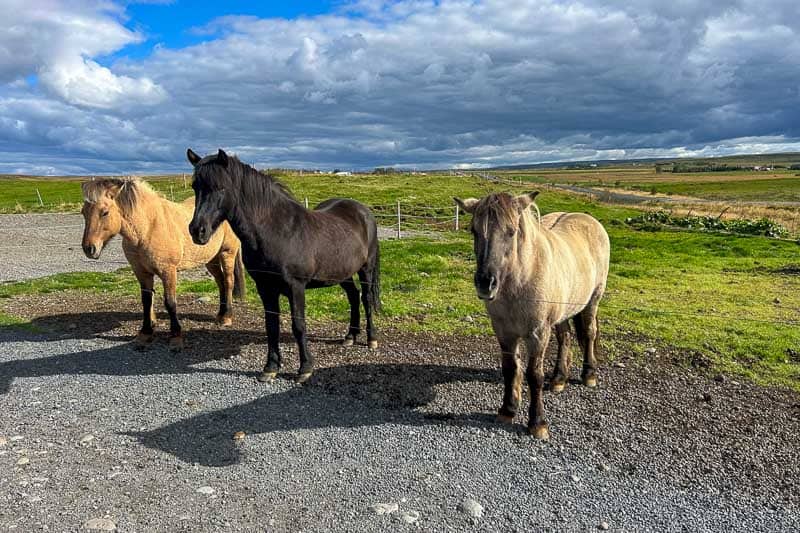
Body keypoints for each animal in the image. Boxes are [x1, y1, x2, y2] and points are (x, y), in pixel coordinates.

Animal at [81, 177, 246, 351]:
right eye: (83, 212)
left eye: (104, 212)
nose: (89, 249)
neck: (148, 228)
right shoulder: (142, 272)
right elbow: (147, 301)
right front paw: (146, 333)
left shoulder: (168, 272)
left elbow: (170, 303)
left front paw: (176, 337)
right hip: (210, 259)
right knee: (220, 282)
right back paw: (220, 314)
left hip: (227, 253)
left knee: (228, 282)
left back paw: (226, 317)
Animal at [186, 148, 381, 383]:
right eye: (195, 187)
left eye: (221, 187)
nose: (198, 231)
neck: (277, 230)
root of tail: (363, 211)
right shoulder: (265, 288)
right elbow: (272, 326)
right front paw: (270, 367)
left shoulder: (295, 287)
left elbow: (298, 326)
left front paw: (305, 368)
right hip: (341, 273)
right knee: (353, 296)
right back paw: (350, 336)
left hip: (366, 268)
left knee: (366, 298)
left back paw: (371, 339)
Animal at [454, 192, 610, 440]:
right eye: (473, 230)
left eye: (511, 231)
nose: (485, 284)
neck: (520, 281)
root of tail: (589, 219)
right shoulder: (504, 332)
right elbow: (510, 369)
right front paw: (507, 410)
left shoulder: (537, 334)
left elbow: (534, 375)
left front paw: (537, 423)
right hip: (562, 312)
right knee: (565, 337)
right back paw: (558, 378)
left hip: (593, 301)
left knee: (588, 334)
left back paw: (589, 375)